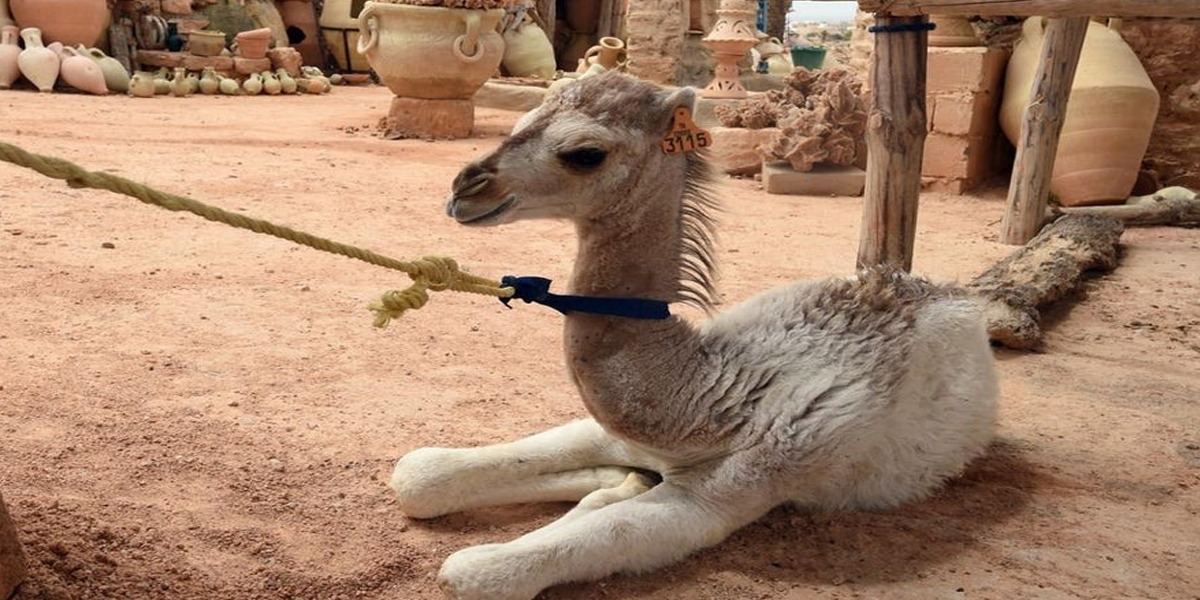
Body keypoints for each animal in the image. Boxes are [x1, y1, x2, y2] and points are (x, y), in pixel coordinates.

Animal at [390, 72, 999, 600]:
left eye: (585, 153)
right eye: (522, 119)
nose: (466, 188)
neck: (709, 403)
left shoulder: (729, 493)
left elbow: (479, 570)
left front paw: (614, 493)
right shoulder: (619, 433)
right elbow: (420, 474)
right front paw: (619, 481)